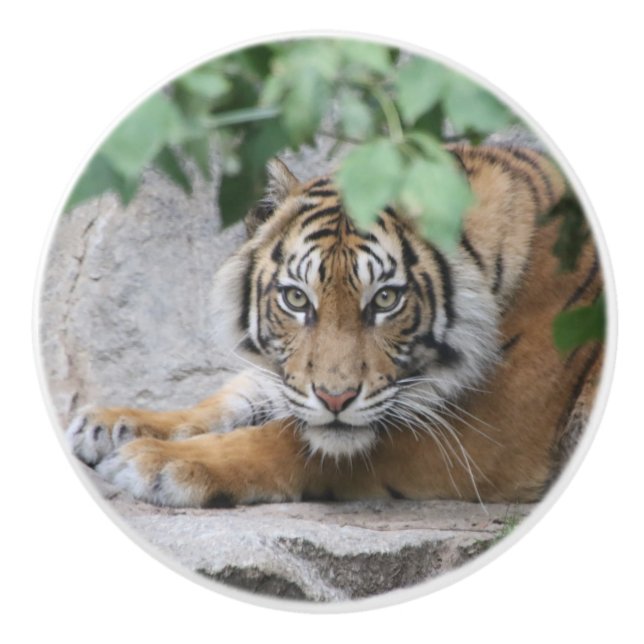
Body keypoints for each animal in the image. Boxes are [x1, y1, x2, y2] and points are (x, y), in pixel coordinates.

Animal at [66, 144, 604, 508]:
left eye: (385, 299)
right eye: (296, 299)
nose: (335, 398)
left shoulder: (486, 435)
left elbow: (290, 441)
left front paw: (156, 462)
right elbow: (232, 398)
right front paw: (111, 423)